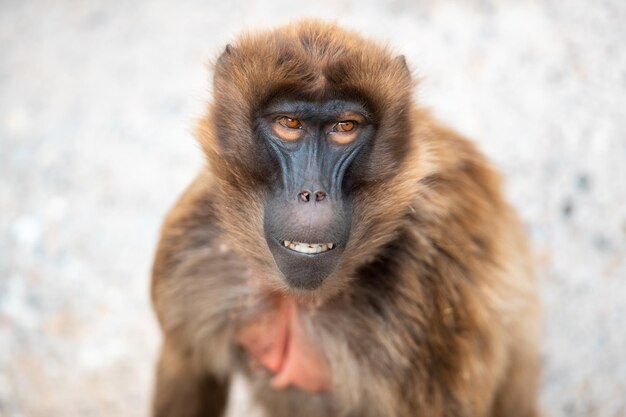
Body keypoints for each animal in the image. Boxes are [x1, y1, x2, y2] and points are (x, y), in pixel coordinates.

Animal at [149, 21, 540, 416]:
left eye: (345, 127)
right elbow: (189, 369)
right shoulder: (195, 245)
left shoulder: (431, 285)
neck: (300, 298)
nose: (312, 193)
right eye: (289, 123)